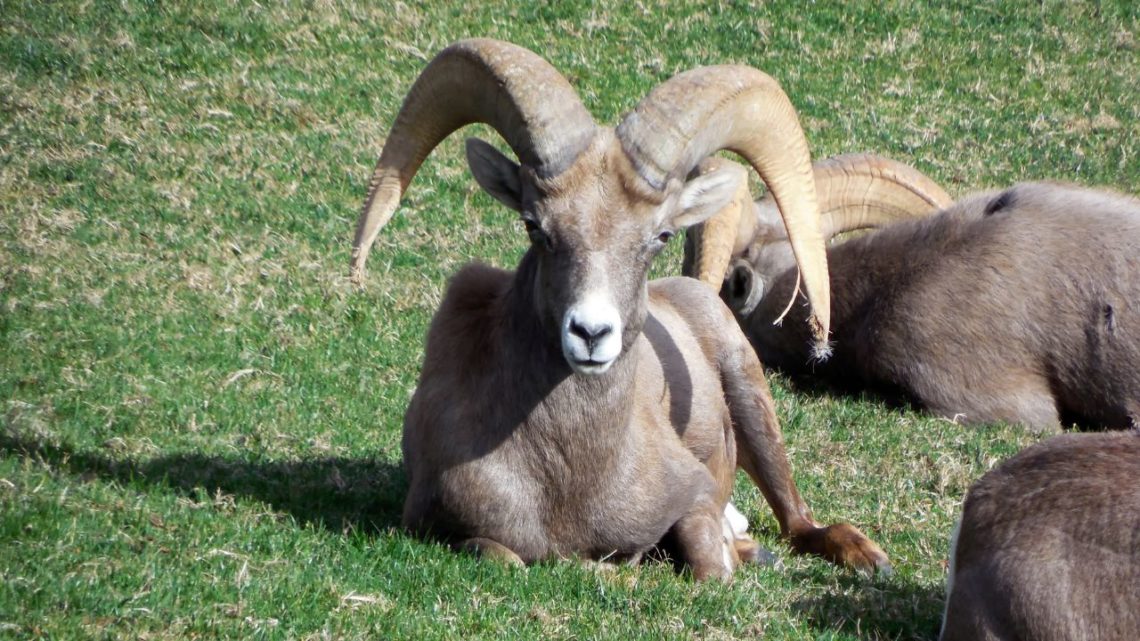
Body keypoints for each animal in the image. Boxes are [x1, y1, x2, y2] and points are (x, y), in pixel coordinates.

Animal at [353, 41, 889, 579]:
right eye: (534, 226)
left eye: (660, 236)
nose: (591, 334)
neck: (567, 481)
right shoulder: (435, 525)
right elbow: (505, 557)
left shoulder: (695, 496)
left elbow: (708, 568)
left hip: (751, 398)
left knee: (797, 522)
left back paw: (863, 557)